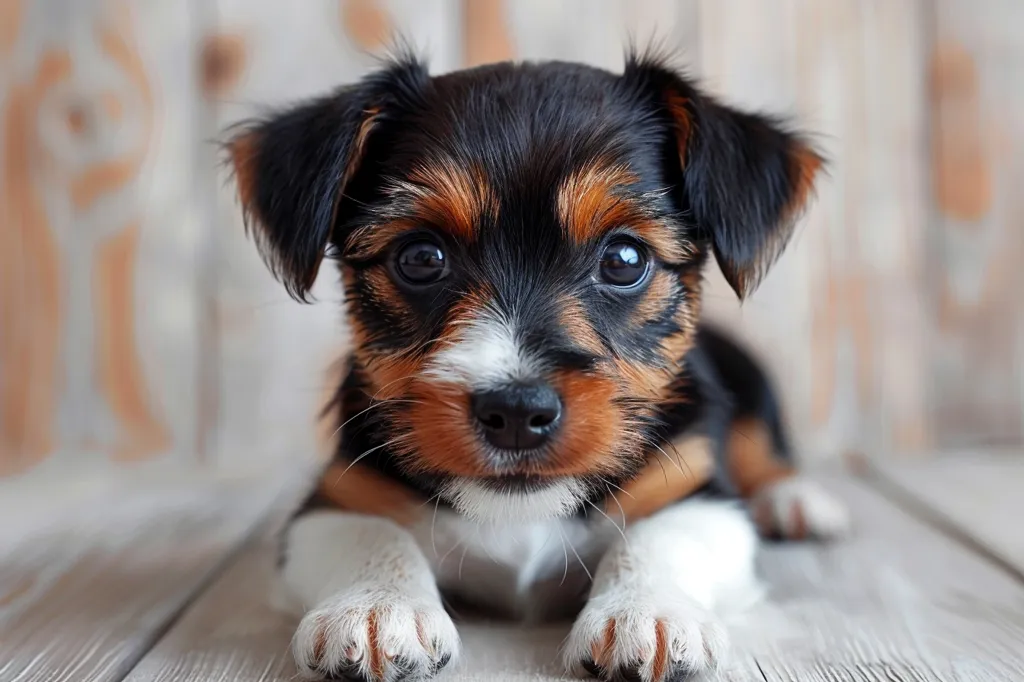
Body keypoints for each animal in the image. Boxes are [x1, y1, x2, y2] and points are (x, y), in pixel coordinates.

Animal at [228, 51, 851, 679]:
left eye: (625, 259)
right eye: (420, 258)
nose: (516, 412)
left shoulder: (700, 492)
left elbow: (660, 537)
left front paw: (645, 613)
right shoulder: (336, 497)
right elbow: (370, 533)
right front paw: (375, 607)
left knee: (763, 452)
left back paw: (795, 500)